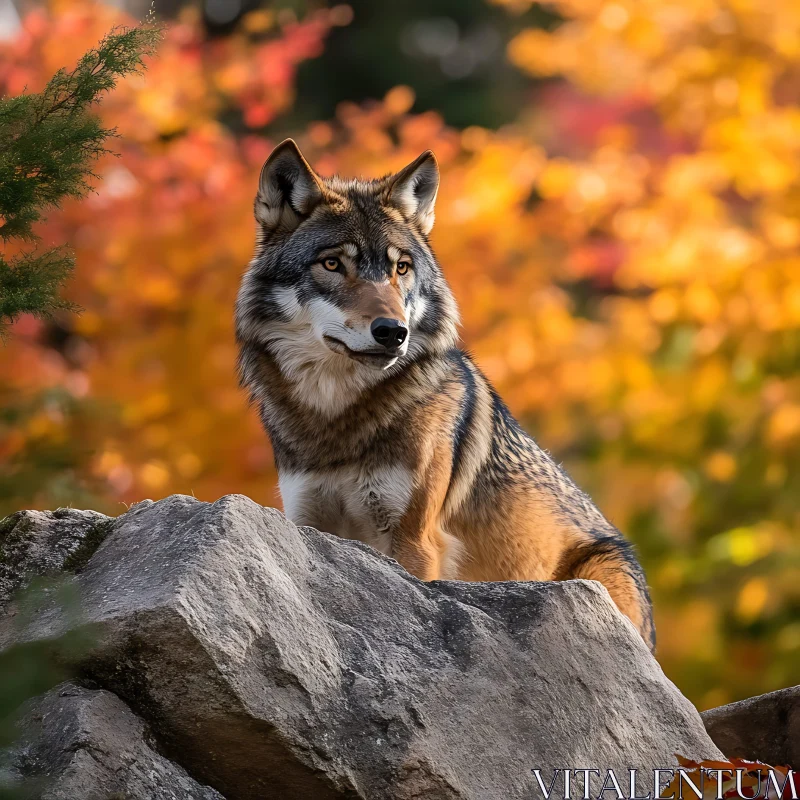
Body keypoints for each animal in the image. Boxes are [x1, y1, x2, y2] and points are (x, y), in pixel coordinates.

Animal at [233, 138, 656, 648]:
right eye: (333, 263)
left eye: (400, 268)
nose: (392, 332)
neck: (336, 417)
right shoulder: (307, 523)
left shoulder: (414, 540)